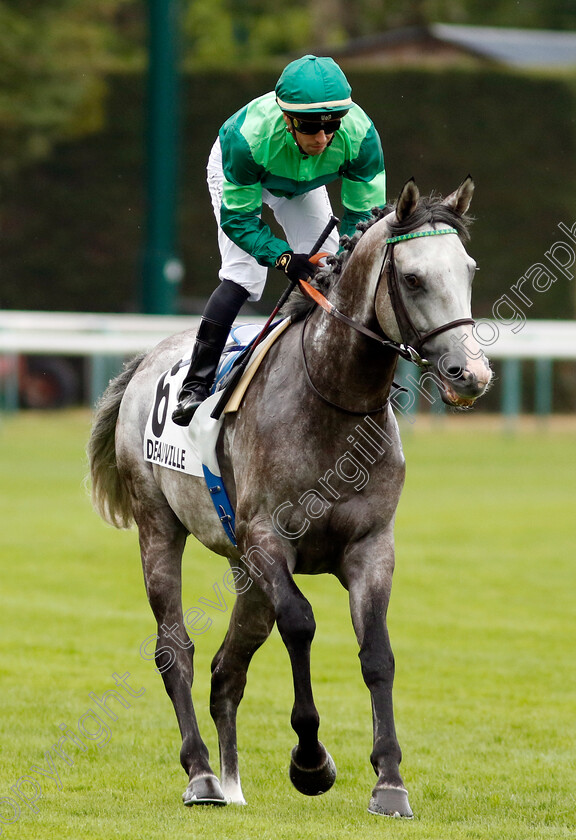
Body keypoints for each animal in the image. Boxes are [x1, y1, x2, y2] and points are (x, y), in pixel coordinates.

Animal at [89, 179, 490, 820]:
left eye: (468, 269)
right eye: (412, 278)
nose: (469, 374)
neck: (333, 399)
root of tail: (149, 358)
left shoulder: (372, 546)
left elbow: (378, 652)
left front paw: (389, 781)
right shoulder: (267, 540)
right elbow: (300, 625)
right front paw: (311, 761)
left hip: (244, 575)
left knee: (227, 668)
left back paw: (232, 782)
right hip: (160, 527)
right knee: (176, 648)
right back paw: (203, 774)